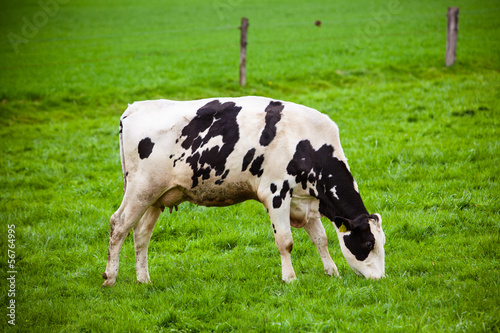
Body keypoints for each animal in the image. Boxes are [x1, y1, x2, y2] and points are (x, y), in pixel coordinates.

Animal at [102, 95, 386, 286]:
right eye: (368, 243)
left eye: (383, 242)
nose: (380, 279)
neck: (307, 143)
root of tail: (135, 107)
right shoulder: (275, 193)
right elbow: (285, 241)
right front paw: (290, 278)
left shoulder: (304, 200)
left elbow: (321, 239)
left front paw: (331, 272)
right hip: (140, 189)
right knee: (119, 225)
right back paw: (110, 277)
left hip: (157, 196)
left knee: (141, 233)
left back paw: (144, 279)